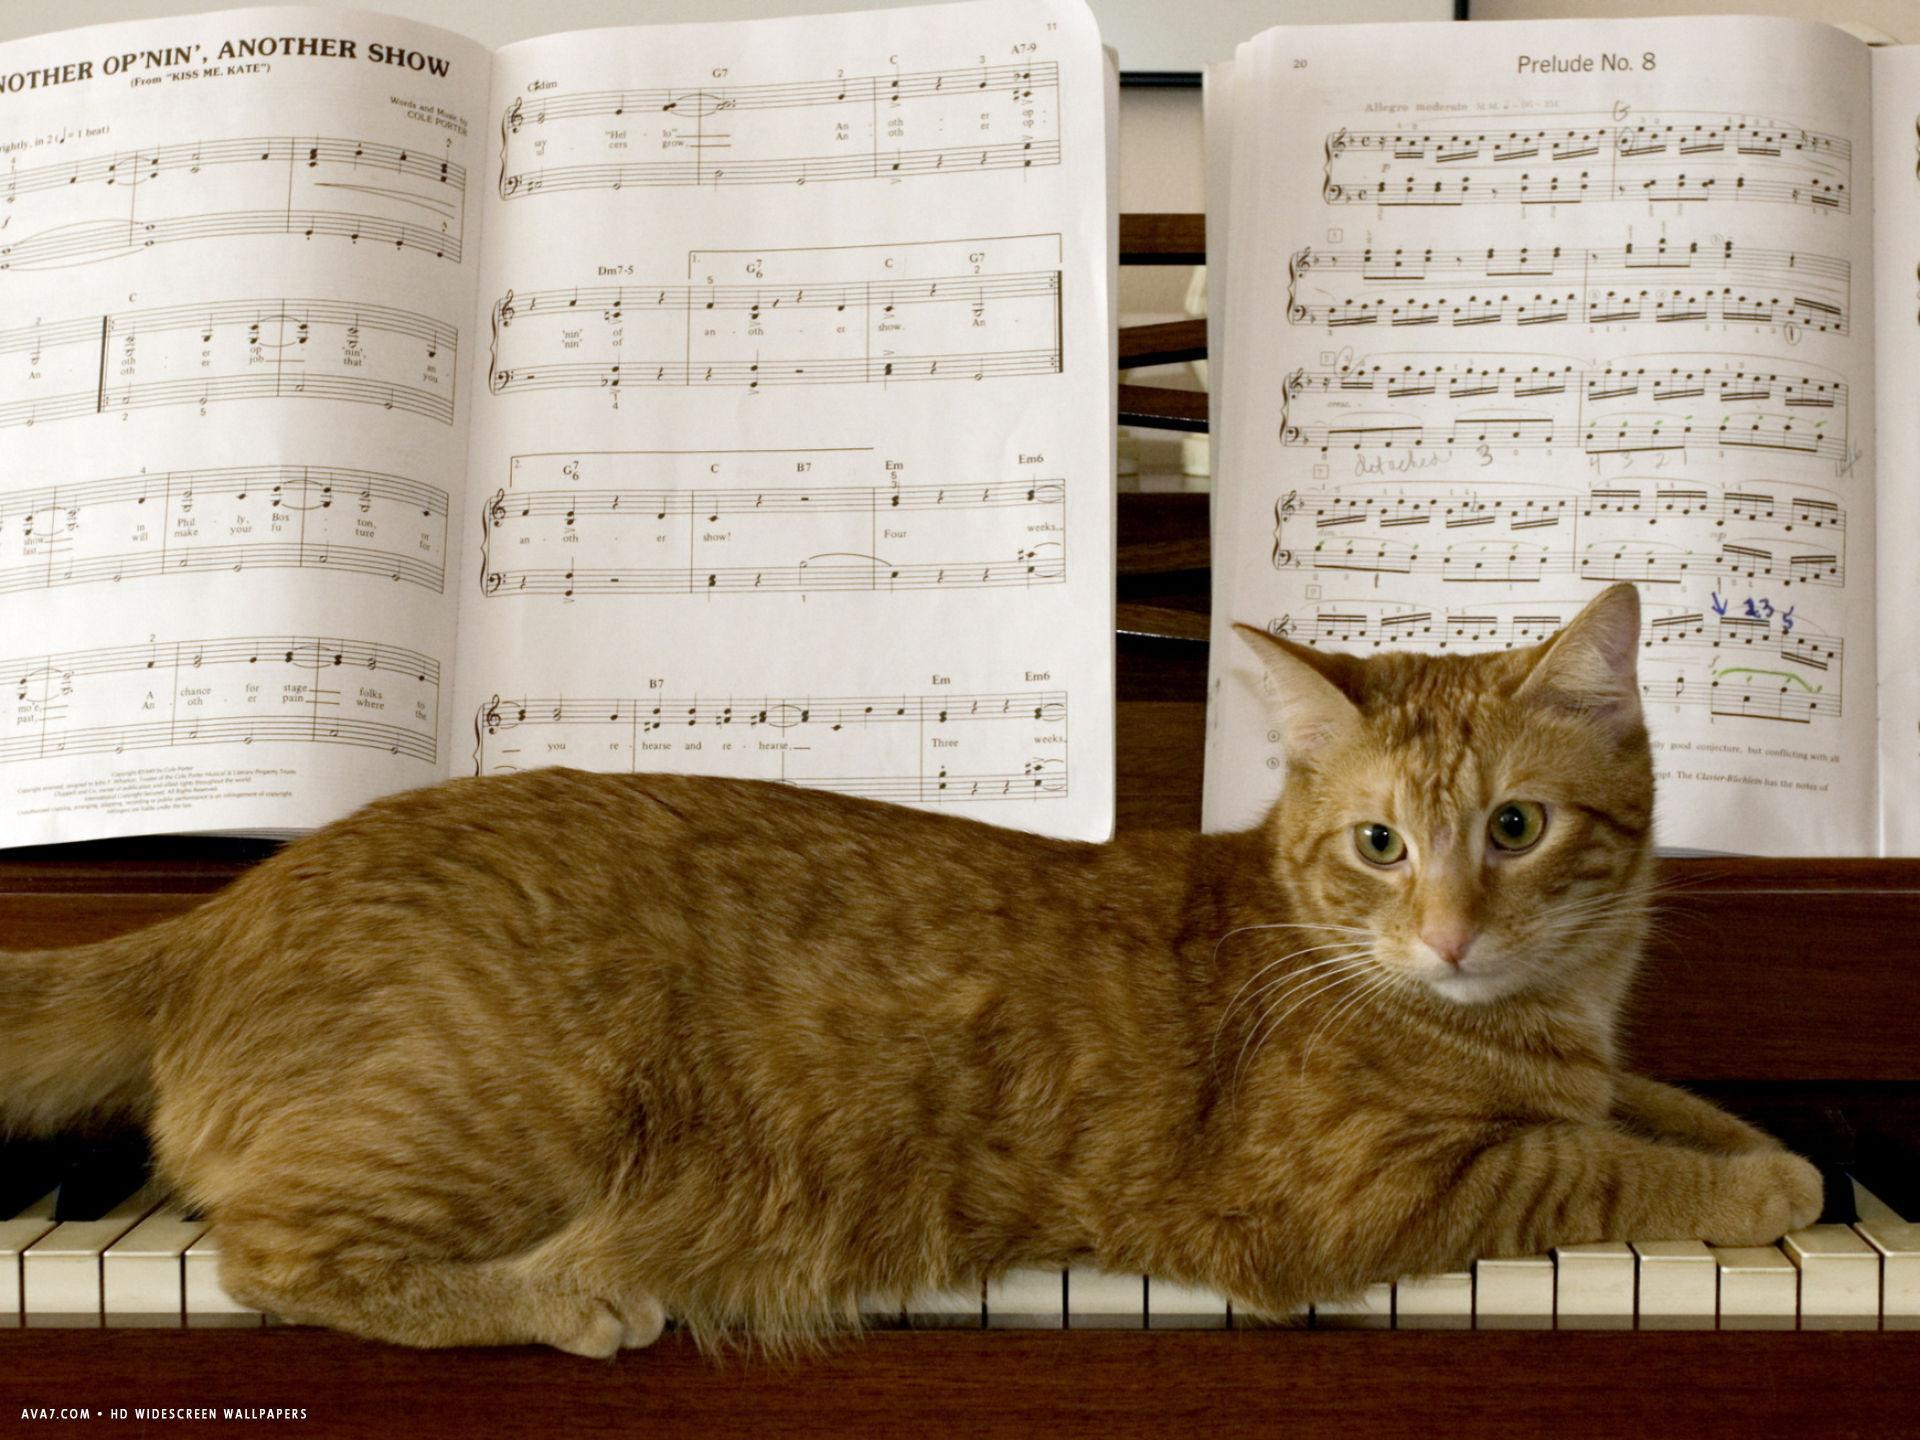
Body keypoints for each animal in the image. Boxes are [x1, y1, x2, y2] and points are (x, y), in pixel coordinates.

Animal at [3, 583, 1812, 1351]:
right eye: (1378, 844)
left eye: (1515, 826)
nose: (1446, 930)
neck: (1534, 1011)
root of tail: (234, 897)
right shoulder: (1345, 1205)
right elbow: (1598, 1166)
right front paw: (1762, 1191)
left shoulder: (1592, 1061)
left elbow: (1660, 1102)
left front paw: (1774, 1146)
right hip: (516, 1108)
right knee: (274, 1258)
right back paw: (566, 1301)